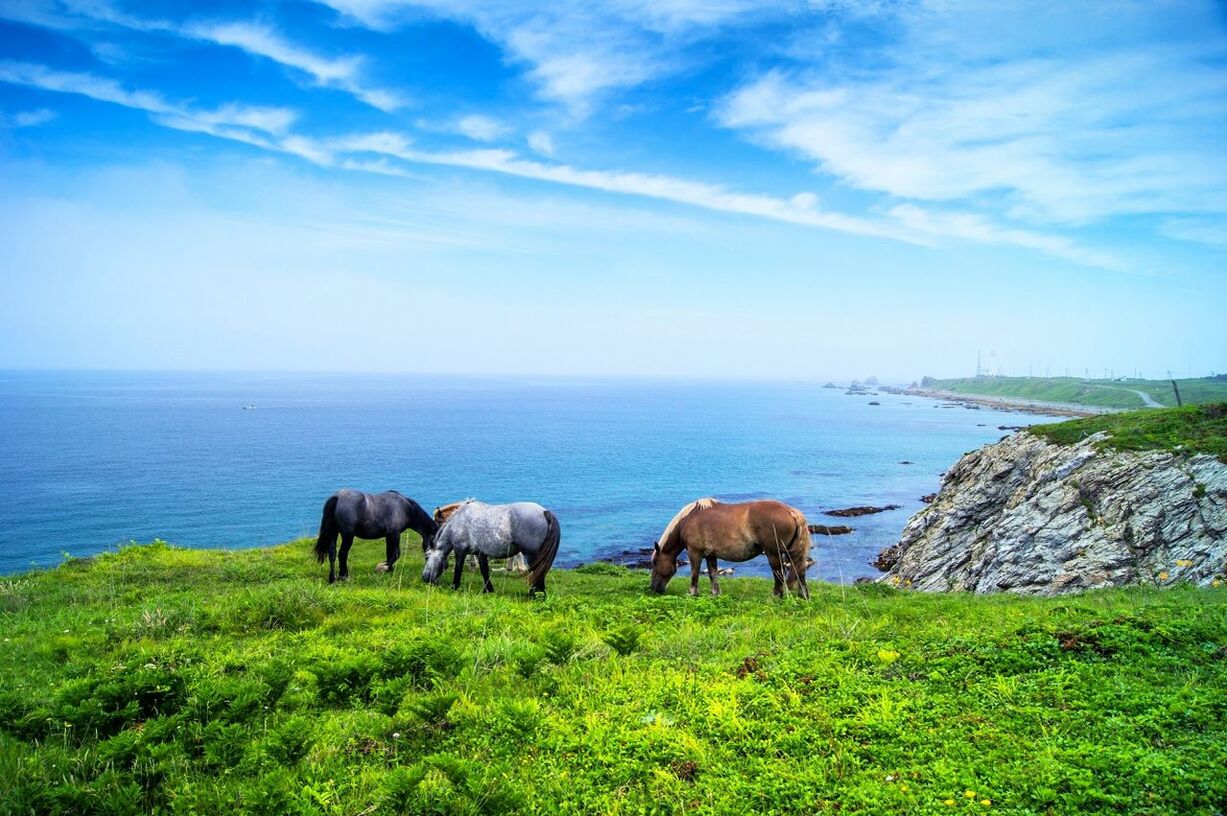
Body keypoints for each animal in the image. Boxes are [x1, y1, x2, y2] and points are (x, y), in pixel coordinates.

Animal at [419, 495, 559, 591]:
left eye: (426, 557)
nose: (425, 578)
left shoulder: (460, 550)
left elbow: (458, 568)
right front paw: (489, 589)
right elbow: (484, 570)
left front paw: (454, 586)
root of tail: (544, 511)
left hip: (531, 554)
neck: (458, 522)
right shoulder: (480, 553)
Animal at [647, 495, 809, 598]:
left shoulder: (694, 553)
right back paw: (803, 596)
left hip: (773, 554)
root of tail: (790, 511)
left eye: (655, 562)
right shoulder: (711, 555)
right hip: (790, 554)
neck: (688, 520)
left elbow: (694, 574)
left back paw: (776, 597)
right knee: (799, 571)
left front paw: (692, 593)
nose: (653, 588)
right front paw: (716, 594)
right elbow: (713, 575)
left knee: (779, 574)